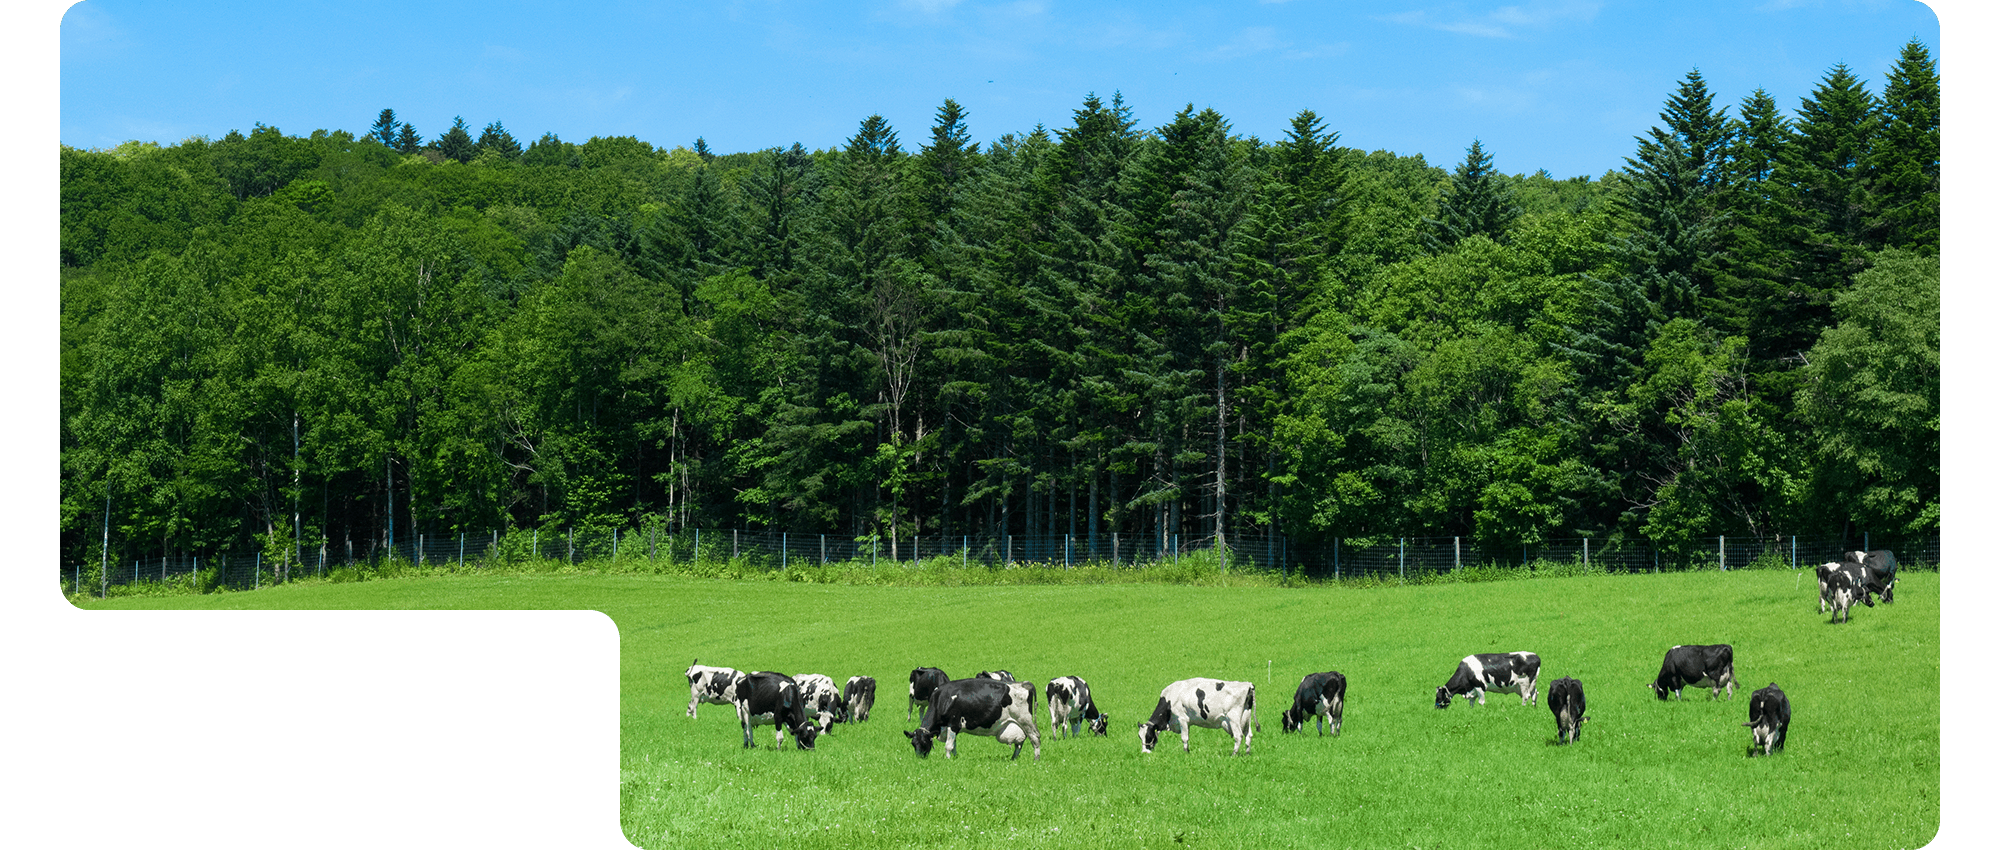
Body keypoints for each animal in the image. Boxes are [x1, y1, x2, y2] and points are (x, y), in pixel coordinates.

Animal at [900, 676, 1040, 760]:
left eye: (924, 742)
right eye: (913, 743)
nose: (919, 758)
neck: (942, 699)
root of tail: (1024, 684)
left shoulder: (953, 723)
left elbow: (948, 745)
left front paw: (947, 760)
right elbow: (954, 744)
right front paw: (955, 758)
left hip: (1026, 721)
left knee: (1035, 739)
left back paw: (1036, 760)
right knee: (1019, 743)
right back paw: (1013, 759)